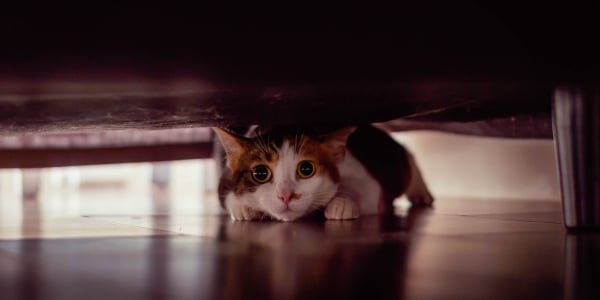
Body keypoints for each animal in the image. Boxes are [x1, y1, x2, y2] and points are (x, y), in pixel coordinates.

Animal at [213, 125, 434, 221]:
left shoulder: (360, 174)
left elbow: (364, 187)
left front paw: (341, 203)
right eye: (260, 173)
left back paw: (421, 193)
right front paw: (243, 208)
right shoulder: (225, 179)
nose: (286, 195)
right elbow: (227, 194)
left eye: (306, 169)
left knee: (409, 157)